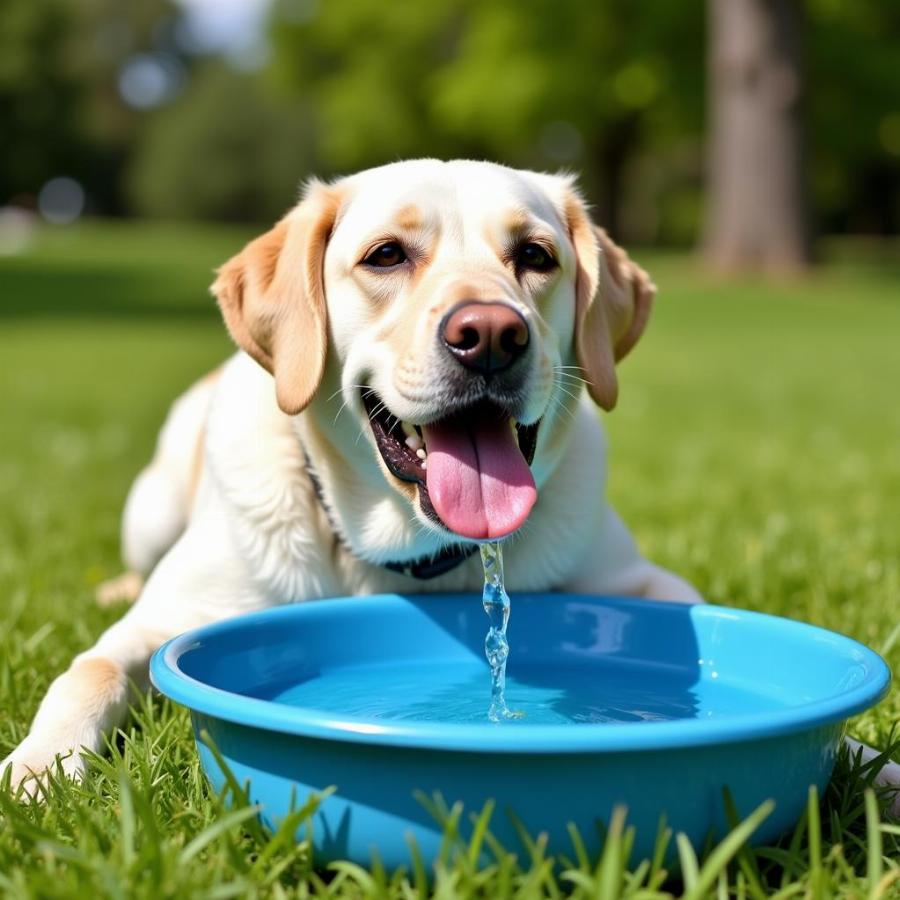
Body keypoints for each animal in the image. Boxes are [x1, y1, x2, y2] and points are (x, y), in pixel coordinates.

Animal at [3, 160, 720, 796]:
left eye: (536, 256)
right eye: (386, 256)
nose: (492, 334)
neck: (409, 552)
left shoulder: (636, 581)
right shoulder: (169, 618)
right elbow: (88, 671)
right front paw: (39, 767)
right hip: (150, 508)